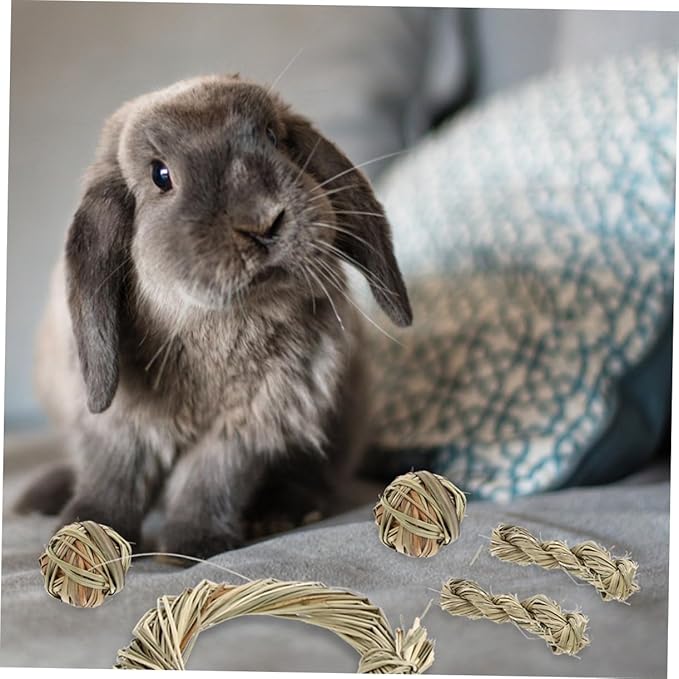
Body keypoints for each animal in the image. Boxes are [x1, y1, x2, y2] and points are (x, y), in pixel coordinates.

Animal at [17, 74, 412, 559]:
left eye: (273, 137)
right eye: (160, 175)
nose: (262, 221)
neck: (218, 325)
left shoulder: (248, 425)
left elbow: (210, 480)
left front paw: (193, 546)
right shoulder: (116, 424)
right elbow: (112, 478)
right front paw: (84, 537)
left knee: (315, 476)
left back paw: (284, 513)